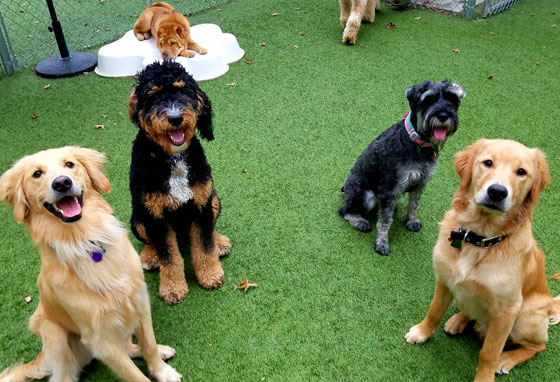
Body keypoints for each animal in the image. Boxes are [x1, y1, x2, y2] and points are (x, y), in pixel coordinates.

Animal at [0, 147, 180, 382]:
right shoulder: (99, 339)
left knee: (130, 346)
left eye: (69, 164)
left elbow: (148, 344)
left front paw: (162, 371)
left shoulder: (140, 302)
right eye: (36, 174)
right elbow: (133, 374)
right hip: (55, 336)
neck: (85, 239)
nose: (62, 183)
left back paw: (161, 350)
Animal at [406, 139, 560, 380]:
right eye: (488, 162)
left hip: (526, 318)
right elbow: (434, 311)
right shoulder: (445, 280)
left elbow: (489, 352)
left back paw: (507, 359)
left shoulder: (507, 310)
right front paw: (421, 332)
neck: (478, 238)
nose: (497, 192)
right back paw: (458, 320)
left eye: (521, 172)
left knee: (538, 346)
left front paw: (485, 376)